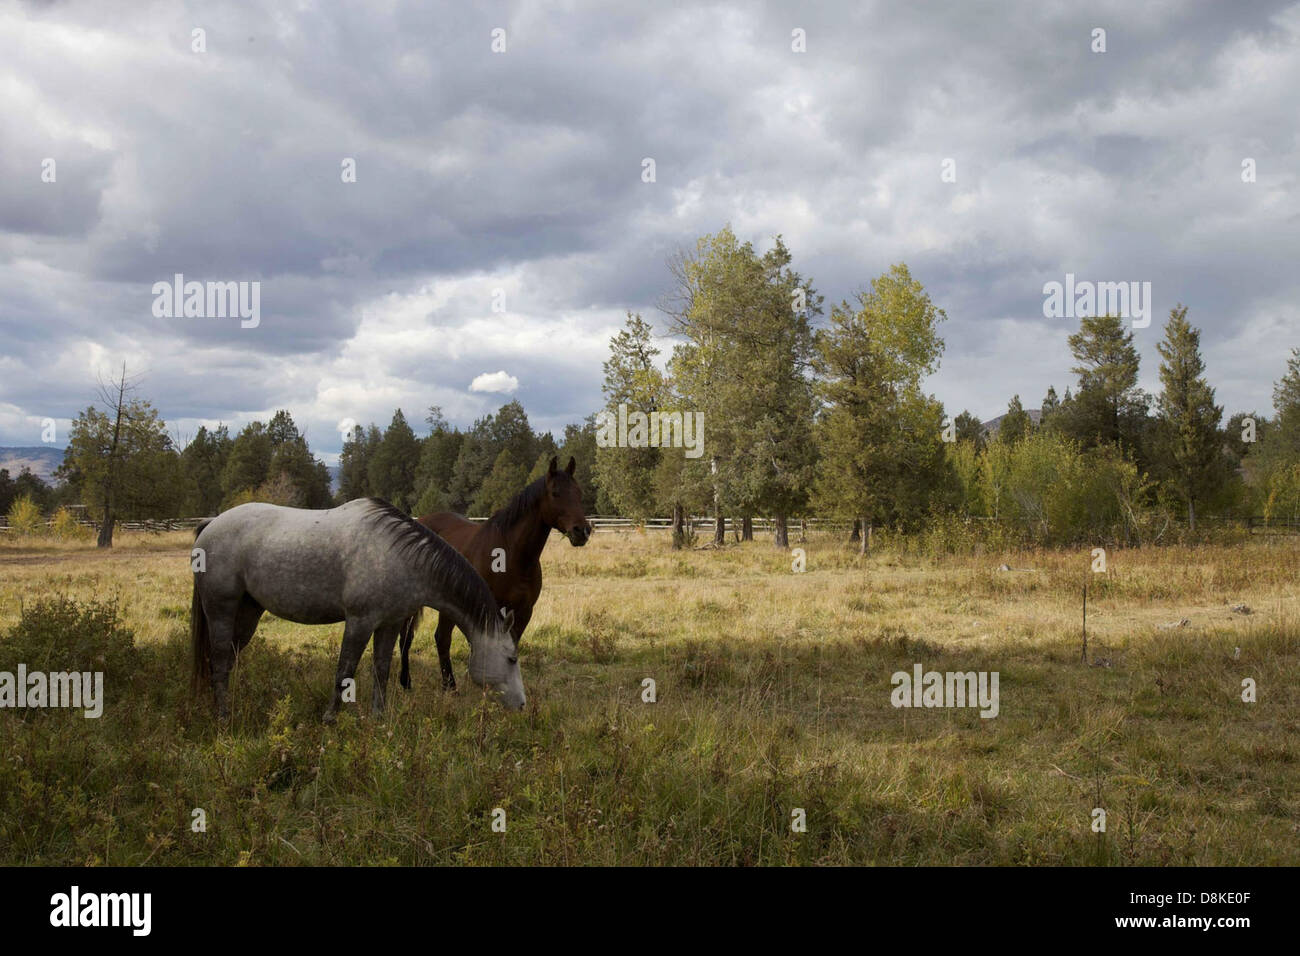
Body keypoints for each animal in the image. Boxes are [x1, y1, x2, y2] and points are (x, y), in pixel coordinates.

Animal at [190, 497, 525, 722]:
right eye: (511, 658)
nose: (522, 704)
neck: (399, 556)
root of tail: (210, 525)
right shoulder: (360, 622)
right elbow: (345, 671)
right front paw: (329, 720)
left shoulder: (390, 624)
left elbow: (381, 671)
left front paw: (379, 718)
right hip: (221, 609)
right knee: (218, 658)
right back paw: (223, 716)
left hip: (248, 613)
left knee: (227, 659)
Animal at [398, 455, 592, 691]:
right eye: (555, 493)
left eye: (579, 493)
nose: (582, 531)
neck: (511, 555)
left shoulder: (523, 611)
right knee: (419, 637)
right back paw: (427, 684)